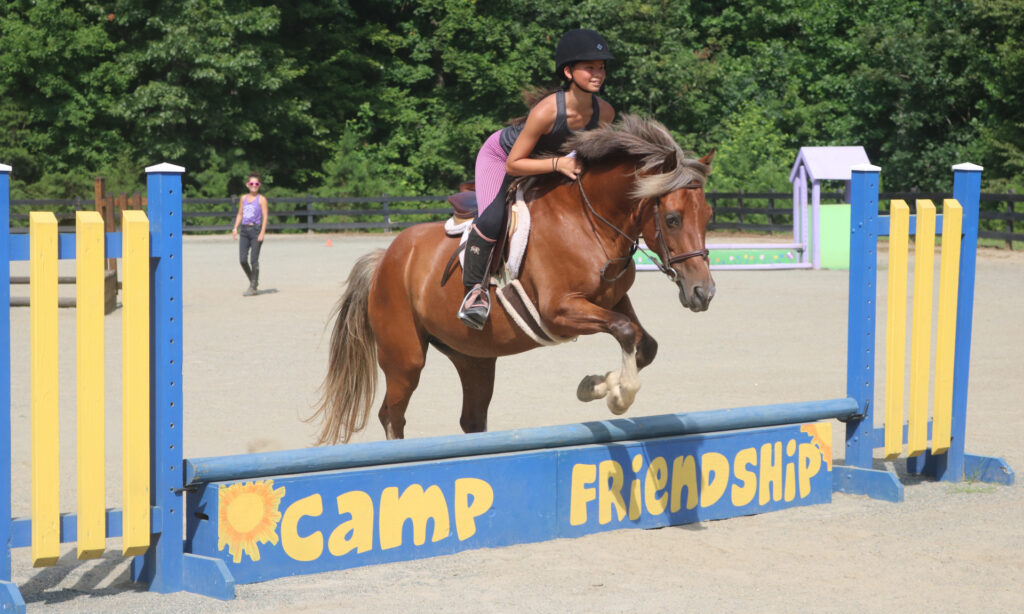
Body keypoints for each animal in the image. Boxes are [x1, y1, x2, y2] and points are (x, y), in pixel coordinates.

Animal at [311, 114, 712, 442]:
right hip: (404, 358)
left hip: (473, 357)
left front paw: (597, 385)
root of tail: (385, 258)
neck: (590, 223)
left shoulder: (613, 300)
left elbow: (644, 343)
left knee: (471, 418)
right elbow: (626, 332)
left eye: (708, 216)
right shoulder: (559, 312)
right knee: (392, 414)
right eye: (672, 219)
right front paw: (615, 394)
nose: (703, 293)